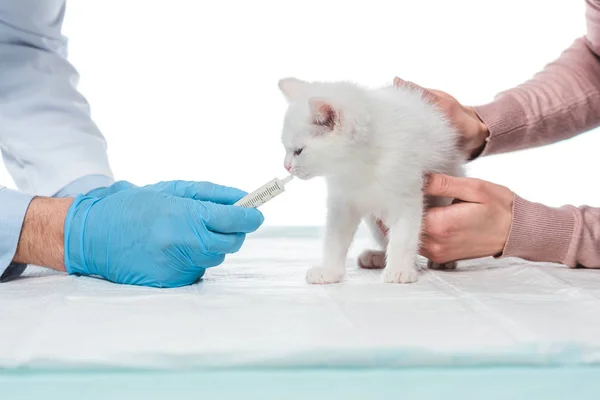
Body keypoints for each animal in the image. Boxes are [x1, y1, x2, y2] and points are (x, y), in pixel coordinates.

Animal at [280, 77, 464, 284]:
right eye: (286, 148)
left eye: (298, 151)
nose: (286, 166)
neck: (359, 166)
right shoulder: (342, 202)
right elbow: (334, 239)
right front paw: (329, 270)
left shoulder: (406, 196)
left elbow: (403, 237)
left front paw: (399, 270)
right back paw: (377, 257)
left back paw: (443, 262)